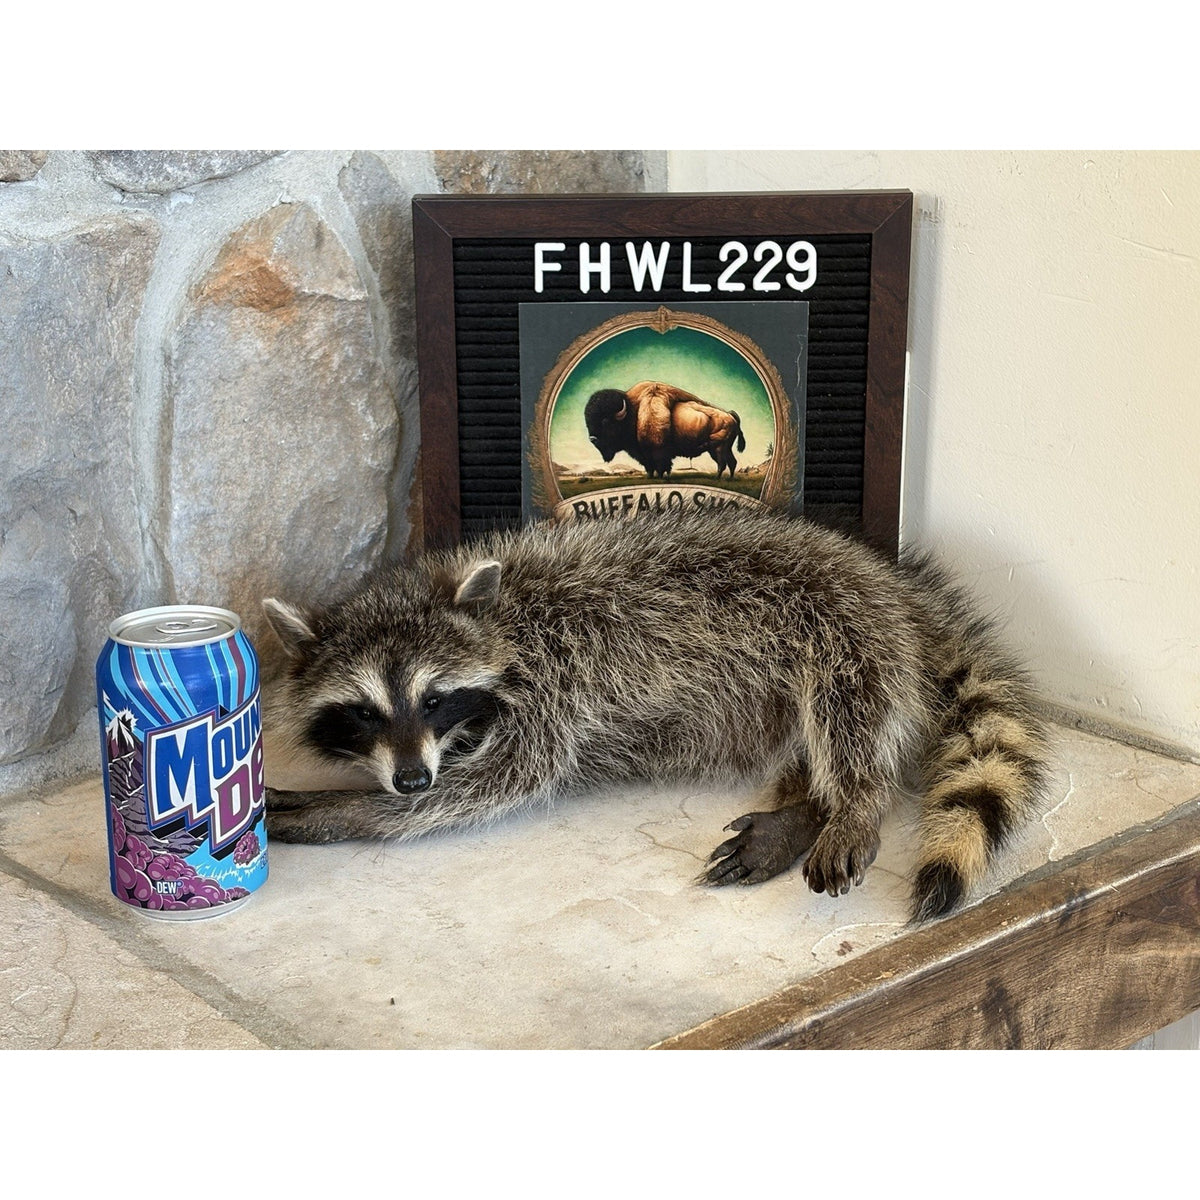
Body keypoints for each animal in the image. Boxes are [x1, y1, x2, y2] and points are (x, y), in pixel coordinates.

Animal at [262, 509, 1050, 922]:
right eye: (364, 713)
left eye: (433, 698)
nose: (410, 780)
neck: (501, 618)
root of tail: (893, 580)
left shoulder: (550, 683)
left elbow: (501, 780)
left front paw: (350, 813)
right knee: (802, 739)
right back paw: (806, 807)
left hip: (838, 610)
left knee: (849, 701)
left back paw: (854, 798)